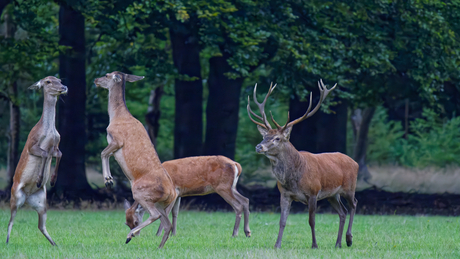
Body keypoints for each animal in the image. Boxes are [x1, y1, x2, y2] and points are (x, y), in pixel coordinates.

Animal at [6, 76, 67, 246]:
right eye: (48, 81)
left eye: (59, 80)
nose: (64, 87)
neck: (49, 132)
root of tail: (27, 200)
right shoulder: (31, 145)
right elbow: (44, 154)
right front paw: (40, 179)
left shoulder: (56, 146)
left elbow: (60, 154)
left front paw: (52, 180)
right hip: (15, 197)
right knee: (10, 220)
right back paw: (6, 242)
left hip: (42, 203)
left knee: (40, 225)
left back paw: (55, 244)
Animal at [94, 71, 177, 250]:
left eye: (107, 75)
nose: (96, 80)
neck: (116, 117)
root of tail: (172, 192)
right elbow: (105, 154)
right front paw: (109, 179)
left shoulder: (117, 140)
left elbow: (103, 153)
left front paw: (108, 180)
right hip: (161, 202)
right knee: (167, 224)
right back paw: (159, 247)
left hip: (140, 192)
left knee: (155, 216)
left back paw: (129, 236)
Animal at [248, 81, 360, 250]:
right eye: (264, 136)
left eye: (277, 138)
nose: (258, 147)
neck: (293, 178)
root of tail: (355, 162)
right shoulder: (285, 194)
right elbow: (282, 221)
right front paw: (277, 245)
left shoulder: (313, 192)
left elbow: (311, 221)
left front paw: (314, 245)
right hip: (332, 195)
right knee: (343, 212)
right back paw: (338, 243)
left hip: (349, 187)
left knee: (354, 204)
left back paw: (349, 239)